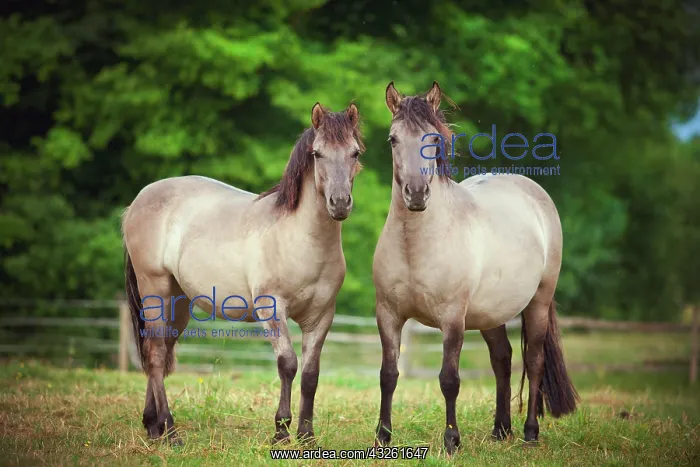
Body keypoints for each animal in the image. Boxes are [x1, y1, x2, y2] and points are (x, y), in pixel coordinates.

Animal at [122, 102, 365, 445]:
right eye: (317, 153)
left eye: (354, 152)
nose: (340, 203)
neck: (300, 238)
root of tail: (139, 201)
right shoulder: (272, 308)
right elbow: (287, 364)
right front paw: (281, 431)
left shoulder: (321, 316)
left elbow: (310, 373)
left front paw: (306, 436)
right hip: (154, 288)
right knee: (155, 354)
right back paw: (170, 431)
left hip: (178, 300)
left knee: (162, 349)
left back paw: (153, 425)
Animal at [372, 81, 579, 454]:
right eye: (393, 139)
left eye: (433, 139)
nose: (416, 195)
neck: (415, 246)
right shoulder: (388, 315)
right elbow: (388, 375)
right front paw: (382, 437)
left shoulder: (453, 319)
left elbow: (449, 380)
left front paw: (452, 441)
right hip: (490, 314)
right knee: (502, 359)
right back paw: (501, 429)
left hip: (538, 302)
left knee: (534, 360)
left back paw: (529, 433)